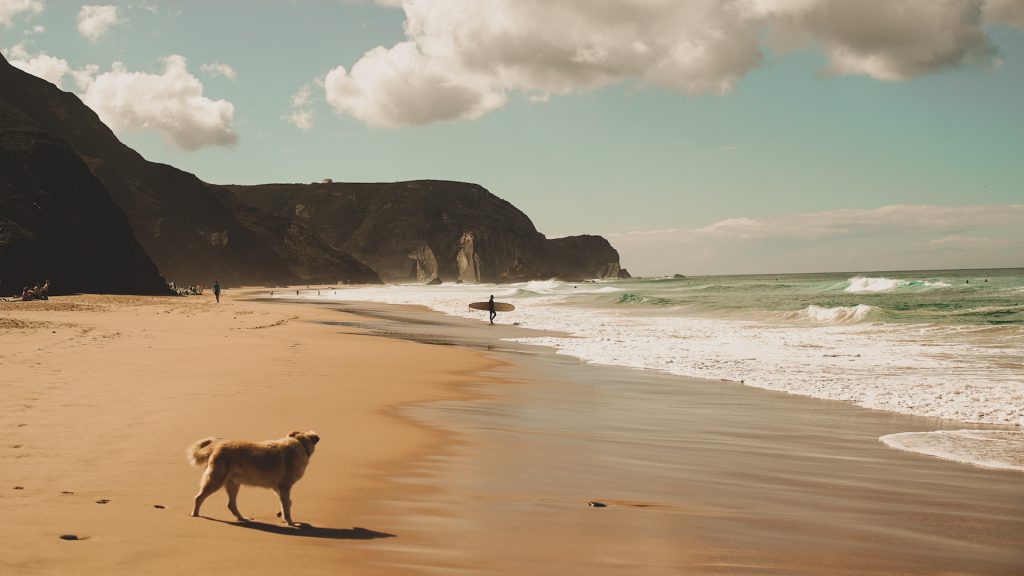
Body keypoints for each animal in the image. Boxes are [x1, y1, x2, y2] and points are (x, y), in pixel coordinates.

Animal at [186, 426, 317, 524]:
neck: (299, 443)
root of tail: (214, 447)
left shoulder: (278, 488)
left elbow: (288, 503)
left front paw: (281, 514)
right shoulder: (284, 487)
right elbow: (287, 507)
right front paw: (290, 522)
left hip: (233, 483)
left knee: (231, 504)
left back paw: (242, 518)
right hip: (216, 480)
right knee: (199, 497)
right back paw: (195, 514)